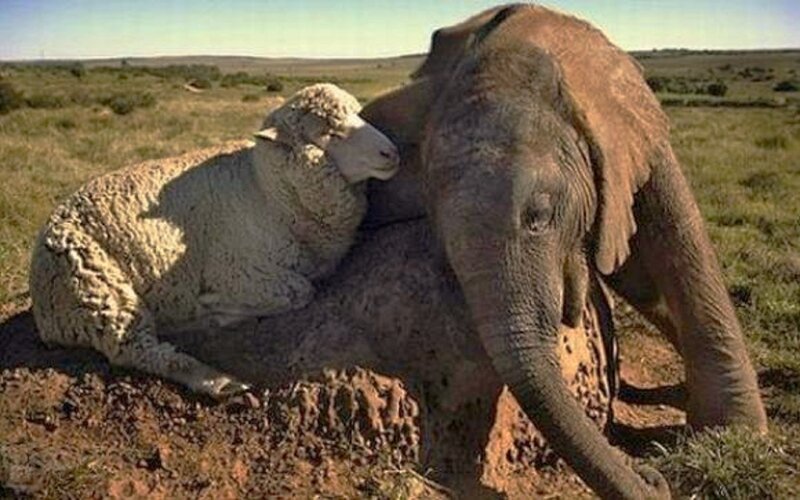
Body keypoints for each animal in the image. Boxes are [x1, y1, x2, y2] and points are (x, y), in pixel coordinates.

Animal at [29, 83, 400, 397]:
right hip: (96, 289)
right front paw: (216, 305)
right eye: (329, 133)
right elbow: (301, 290)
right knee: (136, 350)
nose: (391, 153)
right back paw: (218, 376)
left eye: (359, 115)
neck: (269, 190)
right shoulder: (237, 271)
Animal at [360, 4, 767, 499]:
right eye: (441, 243)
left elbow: (680, 237)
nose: (654, 475)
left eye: (539, 216)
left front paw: (734, 436)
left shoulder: (627, 128)